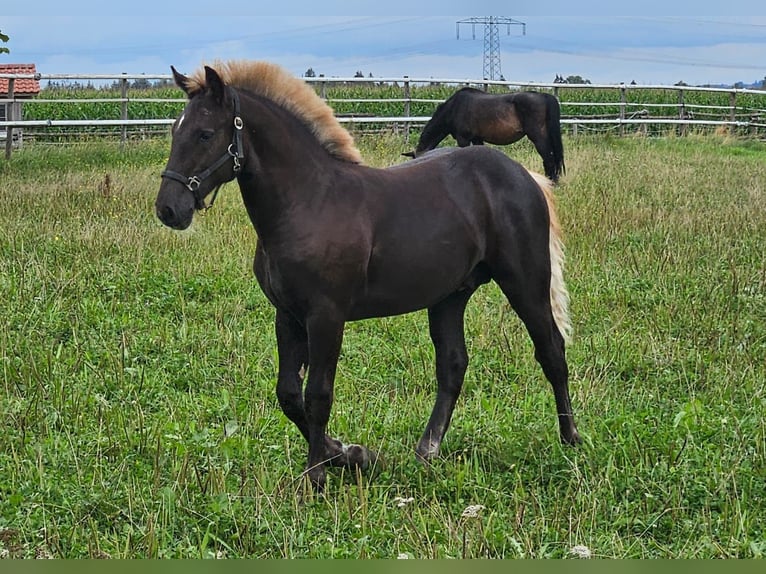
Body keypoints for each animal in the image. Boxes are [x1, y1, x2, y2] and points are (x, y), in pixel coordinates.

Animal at [408, 88, 568, 183]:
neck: (454, 107)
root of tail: (545, 96)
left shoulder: (463, 139)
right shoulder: (477, 139)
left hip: (538, 137)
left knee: (549, 160)